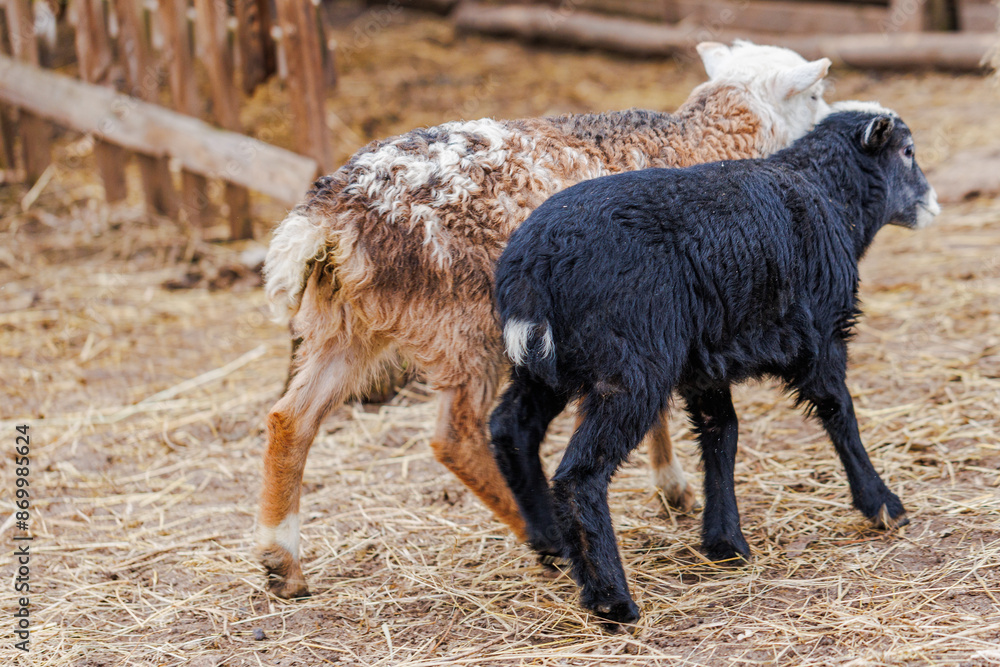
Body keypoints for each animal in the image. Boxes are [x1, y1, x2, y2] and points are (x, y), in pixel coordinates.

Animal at [256, 40, 833, 599]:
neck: (705, 142)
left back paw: (282, 565)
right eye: (814, 95)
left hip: (349, 323)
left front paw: (670, 486)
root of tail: (331, 213)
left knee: (290, 420)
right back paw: (544, 535)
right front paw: (669, 485)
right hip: (462, 318)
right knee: (457, 437)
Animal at [489, 103, 940, 623]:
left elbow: (721, 434)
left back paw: (549, 542)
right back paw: (611, 599)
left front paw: (724, 542)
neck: (830, 196)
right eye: (908, 152)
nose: (933, 205)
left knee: (511, 428)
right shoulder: (823, 336)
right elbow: (839, 414)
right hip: (631, 368)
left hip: (545, 364)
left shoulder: (705, 365)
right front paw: (881, 504)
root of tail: (531, 270)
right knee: (579, 475)